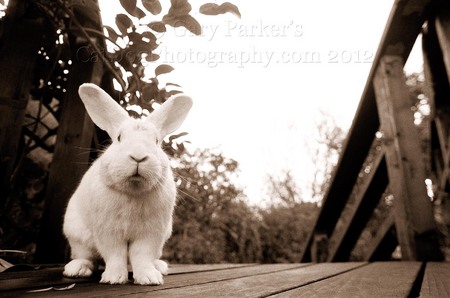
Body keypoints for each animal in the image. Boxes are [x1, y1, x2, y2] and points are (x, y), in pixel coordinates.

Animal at [62, 82, 192, 286]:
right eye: (119, 138)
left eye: (156, 141)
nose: (138, 156)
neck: (133, 191)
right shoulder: (108, 231)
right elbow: (115, 254)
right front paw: (114, 278)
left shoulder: (151, 233)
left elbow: (142, 255)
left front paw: (149, 278)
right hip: (78, 235)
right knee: (87, 256)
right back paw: (77, 269)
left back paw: (160, 267)